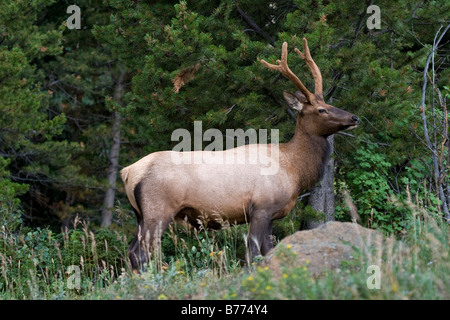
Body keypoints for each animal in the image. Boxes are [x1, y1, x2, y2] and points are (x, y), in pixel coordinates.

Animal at [119, 38, 358, 272]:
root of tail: (128, 172)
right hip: (157, 211)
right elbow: (253, 254)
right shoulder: (261, 207)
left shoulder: (271, 214)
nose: (354, 117)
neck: (294, 169)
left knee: (131, 252)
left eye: (328, 103)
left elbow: (268, 252)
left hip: (140, 215)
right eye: (321, 110)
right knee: (141, 254)